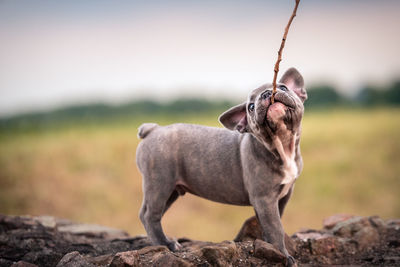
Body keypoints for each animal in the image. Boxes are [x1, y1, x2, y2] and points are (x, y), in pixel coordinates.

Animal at [136, 67, 308, 266]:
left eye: (283, 87)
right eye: (250, 107)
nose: (266, 93)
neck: (282, 144)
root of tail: (154, 129)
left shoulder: (283, 196)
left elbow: (273, 222)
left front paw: (268, 245)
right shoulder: (264, 198)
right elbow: (276, 228)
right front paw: (284, 255)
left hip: (170, 189)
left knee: (152, 213)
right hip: (160, 182)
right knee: (150, 215)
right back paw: (165, 244)